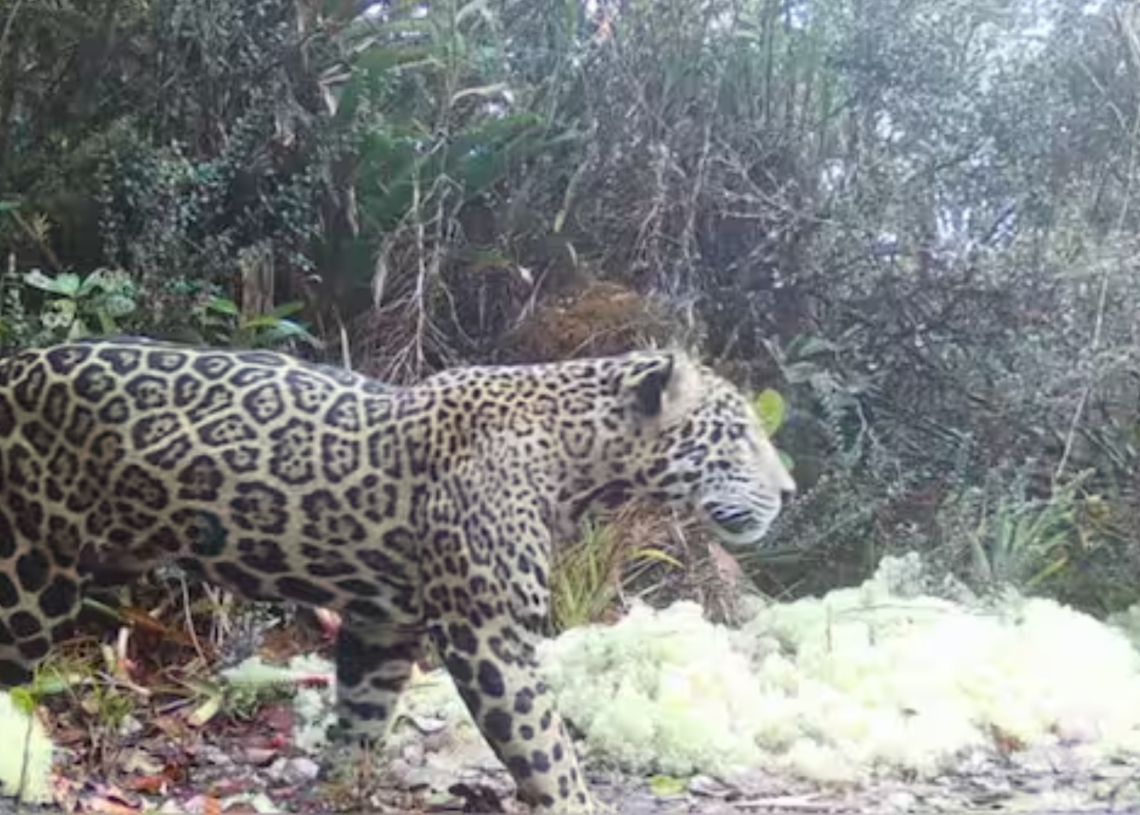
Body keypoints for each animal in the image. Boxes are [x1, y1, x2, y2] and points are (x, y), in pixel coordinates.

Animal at [0, 336, 795, 813]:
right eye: (738, 436)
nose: (789, 491)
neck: (576, 459)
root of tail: (15, 362)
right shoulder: (488, 634)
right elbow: (546, 748)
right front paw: (576, 802)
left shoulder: (382, 625)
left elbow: (361, 718)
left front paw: (338, 790)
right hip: (31, 571)